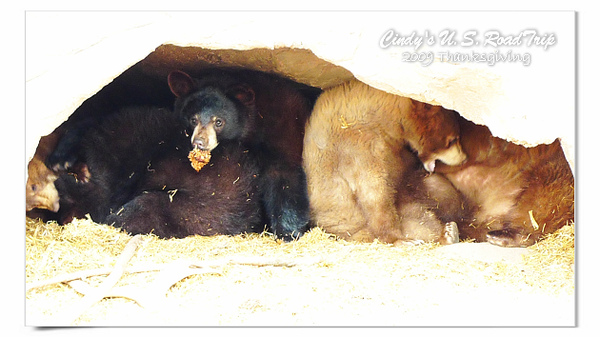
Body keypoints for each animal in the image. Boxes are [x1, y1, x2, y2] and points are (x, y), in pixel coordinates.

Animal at [302, 80, 466, 245]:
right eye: (453, 139)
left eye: (456, 136)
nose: (464, 157)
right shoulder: (357, 145)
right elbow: (374, 192)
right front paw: (397, 238)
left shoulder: (396, 154)